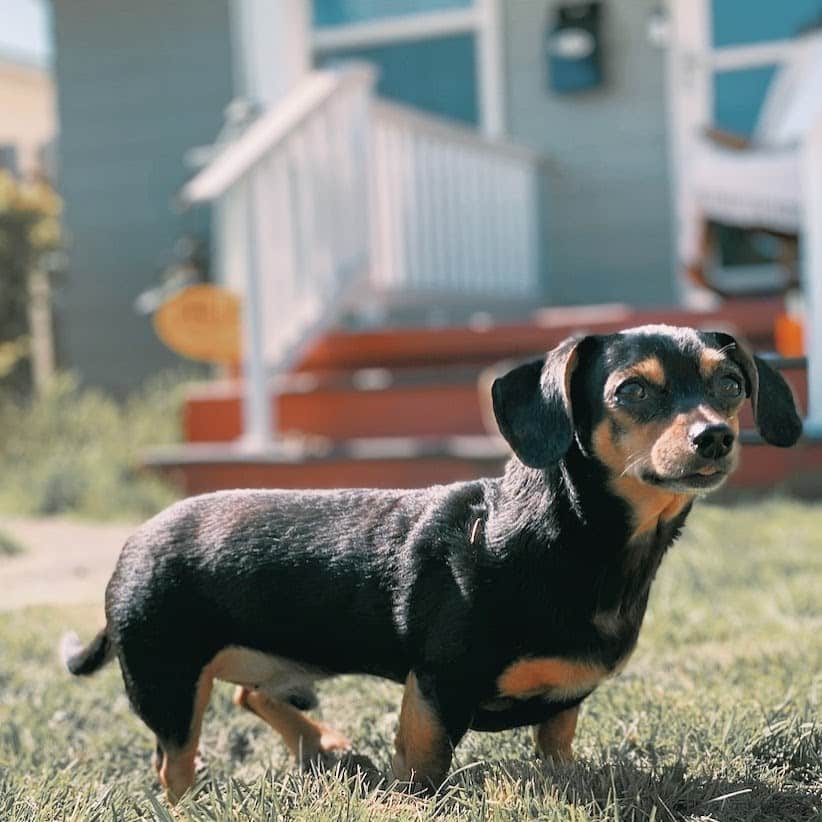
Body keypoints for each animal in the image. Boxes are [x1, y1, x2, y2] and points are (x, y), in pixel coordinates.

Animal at [64, 326, 804, 800]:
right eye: (632, 393)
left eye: (731, 384)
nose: (715, 437)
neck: (565, 540)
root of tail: (135, 541)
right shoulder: (435, 691)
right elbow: (424, 775)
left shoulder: (562, 704)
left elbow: (557, 748)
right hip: (167, 687)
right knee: (175, 766)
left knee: (252, 691)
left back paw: (323, 745)